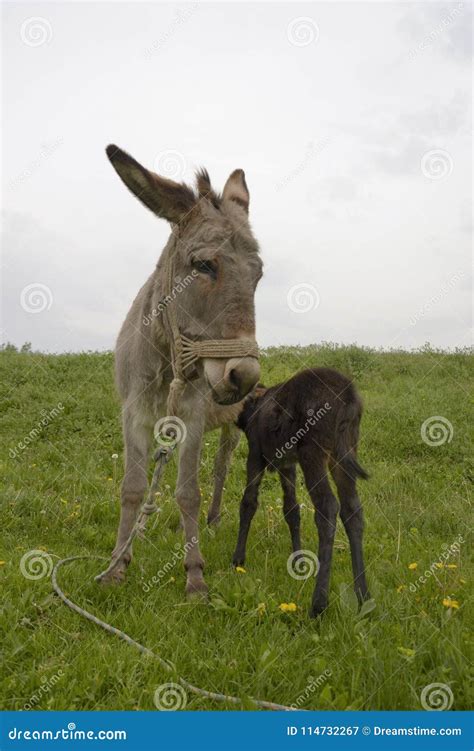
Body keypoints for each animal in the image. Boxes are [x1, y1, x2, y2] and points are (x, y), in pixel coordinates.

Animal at [233, 368, 370, 620]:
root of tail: (349, 400)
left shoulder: (256, 454)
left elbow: (248, 502)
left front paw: (238, 559)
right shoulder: (287, 465)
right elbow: (292, 509)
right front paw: (298, 559)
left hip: (313, 452)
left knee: (328, 508)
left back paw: (319, 604)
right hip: (344, 452)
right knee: (352, 509)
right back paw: (363, 596)